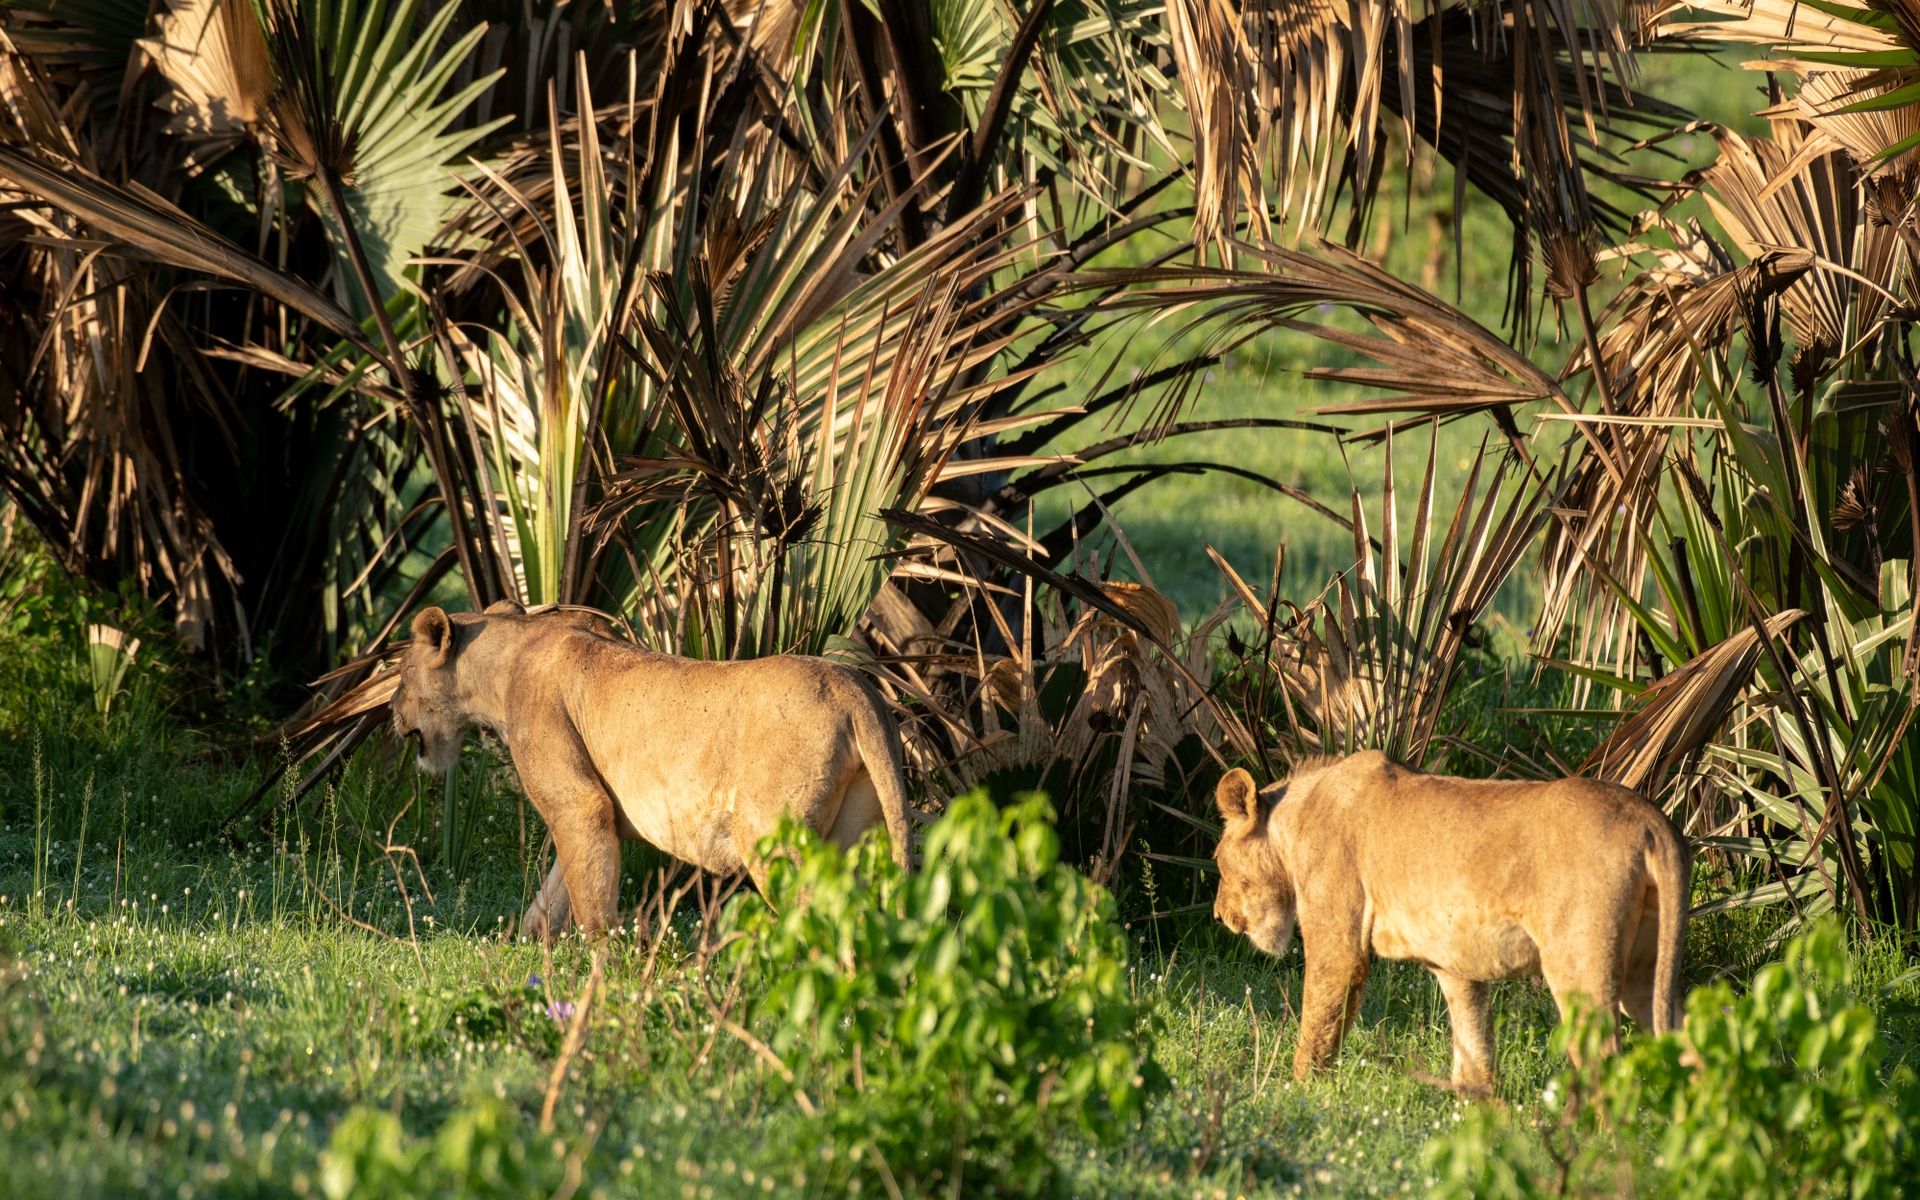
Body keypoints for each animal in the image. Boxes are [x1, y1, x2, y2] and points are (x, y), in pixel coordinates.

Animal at [390, 601, 914, 940]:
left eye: (401, 675)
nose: (391, 709)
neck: (504, 663)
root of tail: (853, 688)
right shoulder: (588, 815)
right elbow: (555, 892)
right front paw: (528, 945)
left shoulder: (579, 802)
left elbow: (589, 900)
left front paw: (601, 972)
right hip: (853, 836)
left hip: (771, 838)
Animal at [1210, 750, 1689, 1095]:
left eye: (1216, 860)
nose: (1218, 914)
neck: (1292, 821)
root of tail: (1650, 820)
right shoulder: (1455, 962)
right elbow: (1473, 1045)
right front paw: (1480, 1117)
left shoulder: (1339, 944)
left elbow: (1319, 1023)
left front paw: (1299, 1092)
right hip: (1643, 974)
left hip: (1579, 965)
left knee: (1606, 1060)